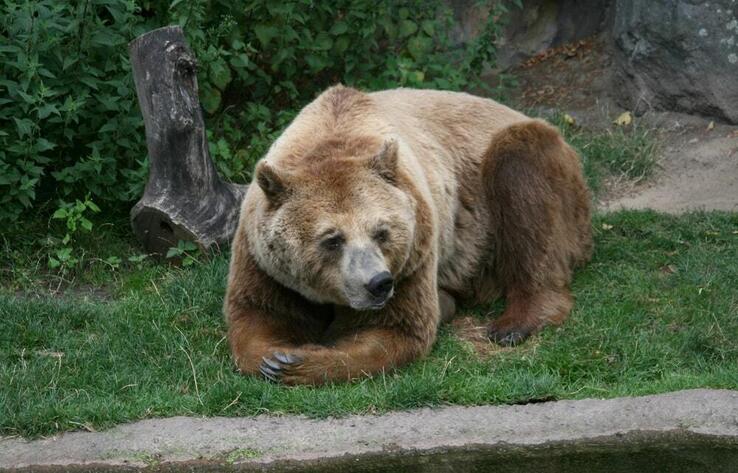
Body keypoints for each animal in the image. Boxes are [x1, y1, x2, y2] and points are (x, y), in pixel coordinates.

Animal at [224, 85, 592, 385]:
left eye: (381, 232)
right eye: (332, 239)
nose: (377, 283)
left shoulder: (414, 255)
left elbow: (397, 330)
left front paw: (299, 362)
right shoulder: (262, 259)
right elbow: (258, 313)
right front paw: (275, 357)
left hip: (523, 185)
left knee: (521, 180)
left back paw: (514, 324)